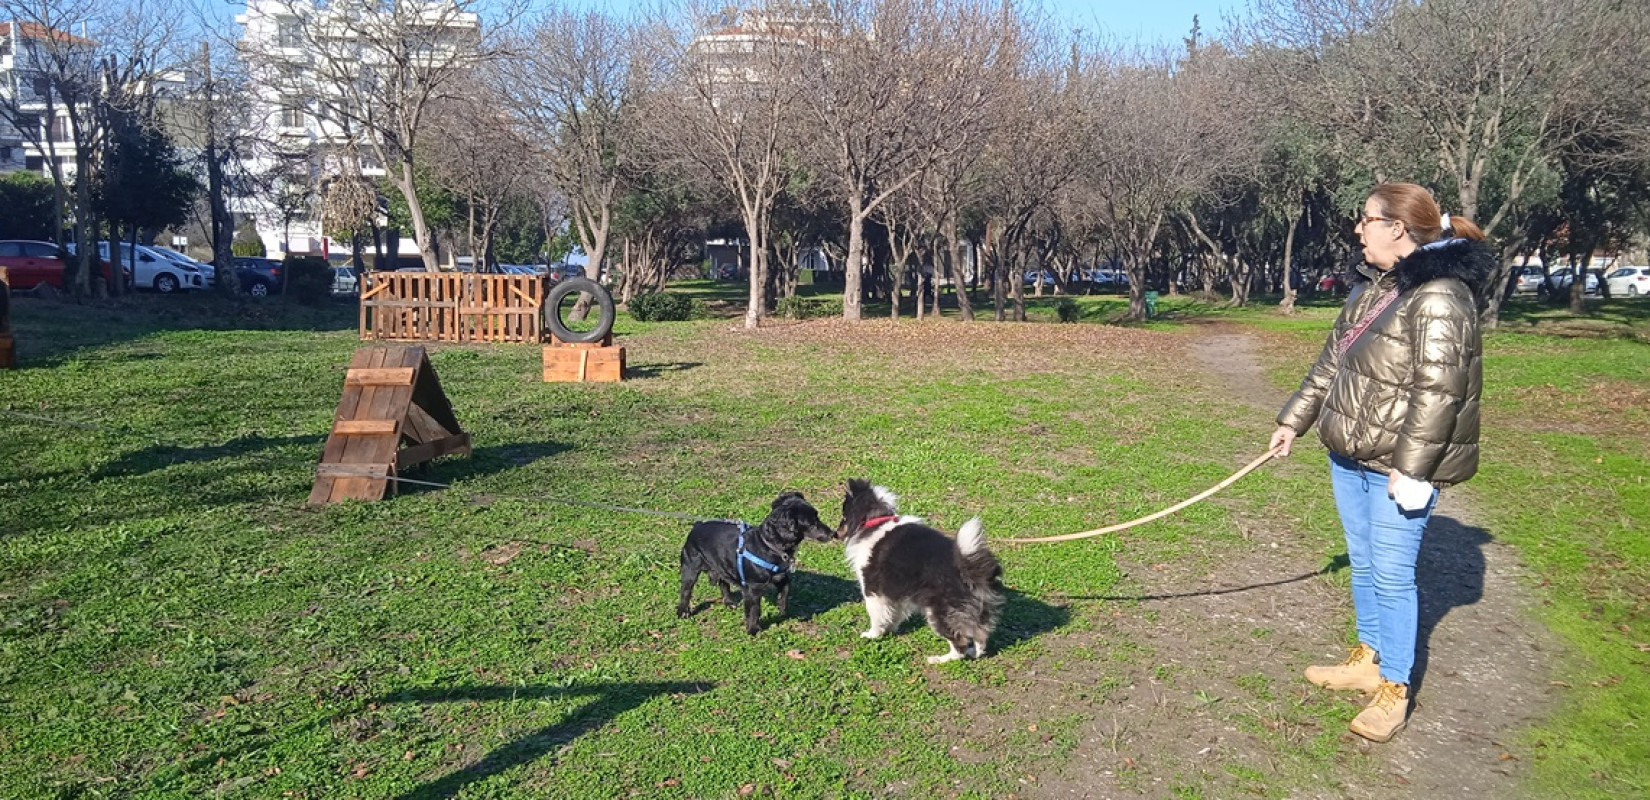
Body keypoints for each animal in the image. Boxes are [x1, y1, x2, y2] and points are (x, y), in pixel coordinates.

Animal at [679, 488, 838, 633]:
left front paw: (781, 607)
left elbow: (786, 589)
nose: (833, 533)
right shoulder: (753, 589)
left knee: (724, 583)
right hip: (690, 569)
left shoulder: (781, 576)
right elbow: (754, 609)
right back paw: (683, 612)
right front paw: (753, 629)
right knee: (685, 591)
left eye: (818, 517)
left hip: (721, 566)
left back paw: (729, 602)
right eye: (812, 523)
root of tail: (697, 525)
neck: (768, 545)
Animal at [838, 481, 1003, 659]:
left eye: (844, 517)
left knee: (960, 644)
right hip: (977, 611)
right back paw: (974, 653)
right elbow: (893, 614)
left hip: (939, 612)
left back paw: (939, 659)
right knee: (980, 637)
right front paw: (890, 630)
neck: (876, 521)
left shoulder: (872, 589)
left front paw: (872, 635)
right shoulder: (894, 592)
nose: (835, 534)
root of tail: (970, 572)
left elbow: (876, 615)